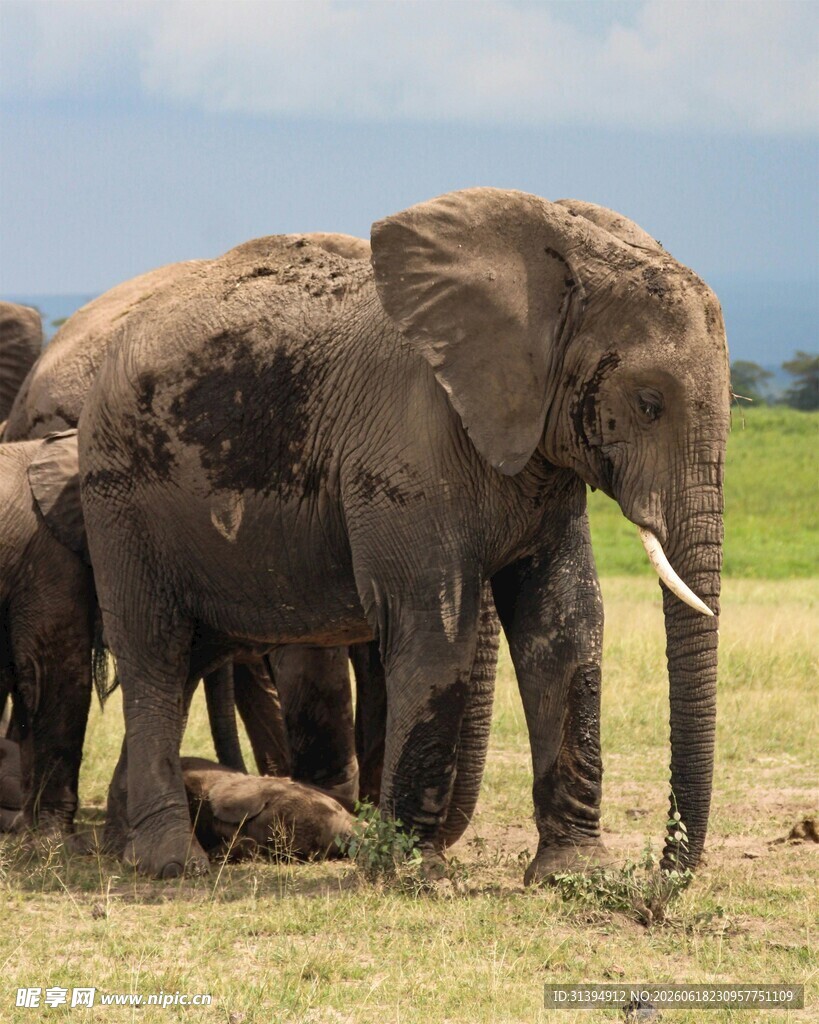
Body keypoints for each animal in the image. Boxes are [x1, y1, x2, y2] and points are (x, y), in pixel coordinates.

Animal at [77, 187, 729, 883]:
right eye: (648, 403)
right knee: (153, 652)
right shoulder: (405, 446)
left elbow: (565, 625)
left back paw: (130, 844)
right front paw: (414, 873)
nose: (662, 878)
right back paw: (172, 866)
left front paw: (574, 874)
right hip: (118, 496)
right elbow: (436, 628)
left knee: (187, 661)